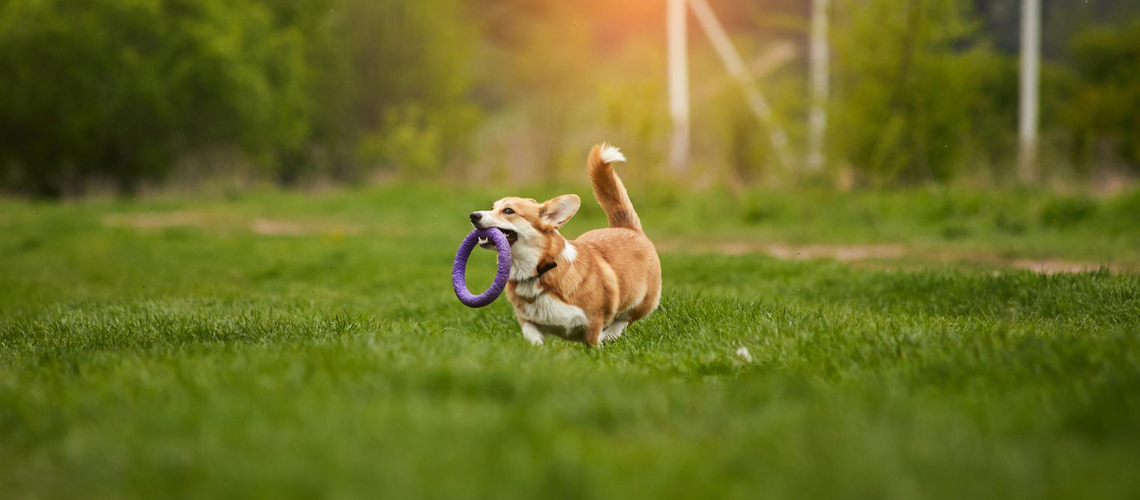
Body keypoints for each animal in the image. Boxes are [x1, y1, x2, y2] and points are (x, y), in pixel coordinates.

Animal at [469, 144, 665, 348]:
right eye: (492, 208)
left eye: (508, 211)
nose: (473, 216)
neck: (538, 270)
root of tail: (627, 227)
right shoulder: (527, 321)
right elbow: (532, 336)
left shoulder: (593, 320)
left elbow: (593, 341)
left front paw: (596, 349)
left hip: (643, 302)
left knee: (624, 319)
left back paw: (609, 335)